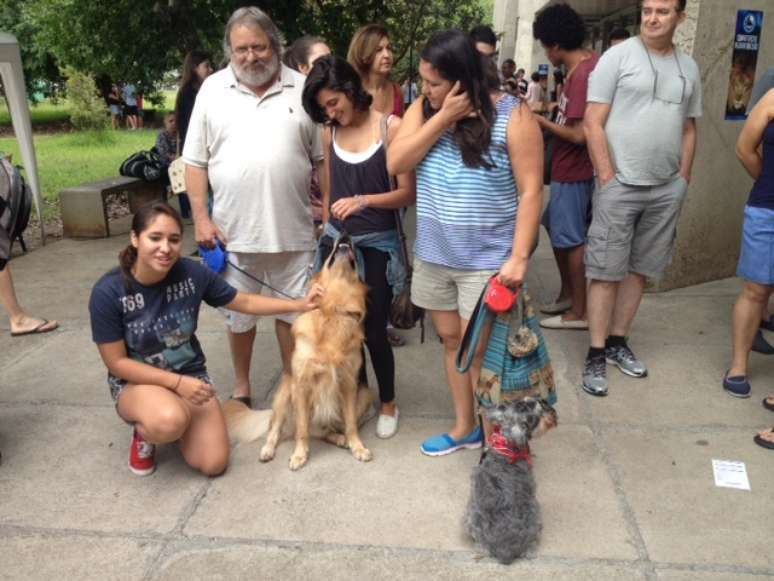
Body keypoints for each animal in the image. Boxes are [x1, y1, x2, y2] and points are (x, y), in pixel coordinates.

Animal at [221, 238, 376, 468]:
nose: (345, 234)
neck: (334, 308)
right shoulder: (301, 384)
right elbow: (302, 429)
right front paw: (299, 454)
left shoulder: (349, 383)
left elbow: (351, 424)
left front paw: (357, 446)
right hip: (286, 392)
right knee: (276, 429)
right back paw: (268, 450)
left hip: (364, 394)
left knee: (328, 431)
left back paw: (341, 439)